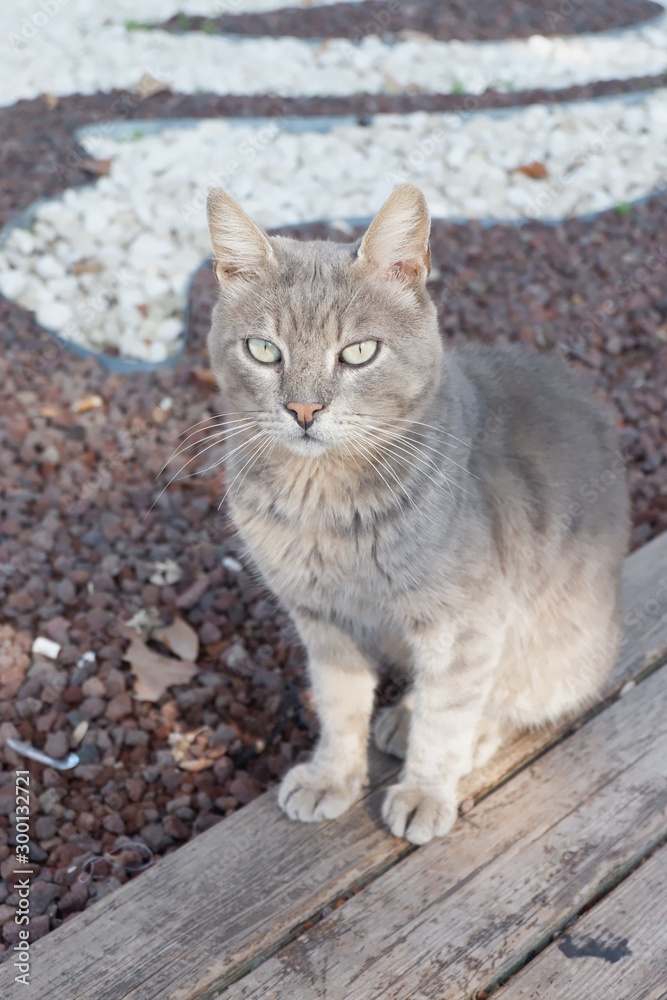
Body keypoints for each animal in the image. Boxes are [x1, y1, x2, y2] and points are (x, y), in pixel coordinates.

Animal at [206, 182, 628, 844]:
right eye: (264, 350)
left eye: (357, 353)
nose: (303, 409)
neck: (323, 507)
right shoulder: (322, 619)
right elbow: (339, 704)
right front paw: (332, 776)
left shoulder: (466, 626)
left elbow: (447, 715)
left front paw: (426, 791)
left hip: (555, 645)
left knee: (514, 699)